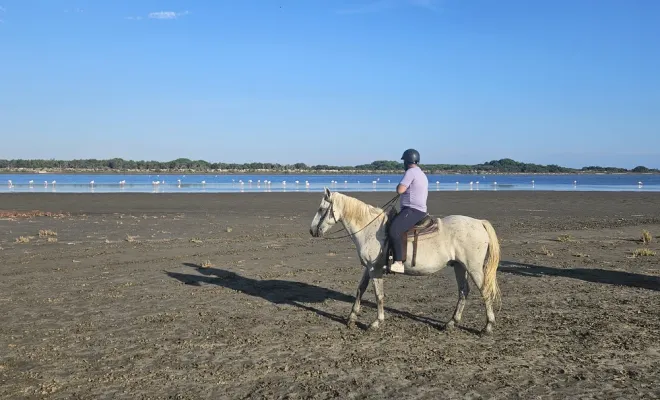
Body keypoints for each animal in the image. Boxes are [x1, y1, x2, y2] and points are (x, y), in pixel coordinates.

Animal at [309, 187, 502, 334]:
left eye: (321, 209)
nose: (312, 231)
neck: (369, 229)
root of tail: (479, 223)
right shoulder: (369, 268)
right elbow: (360, 290)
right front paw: (351, 318)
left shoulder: (375, 269)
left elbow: (379, 295)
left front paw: (377, 322)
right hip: (459, 267)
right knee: (463, 291)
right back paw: (451, 323)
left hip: (473, 267)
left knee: (485, 292)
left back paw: (487, 327)